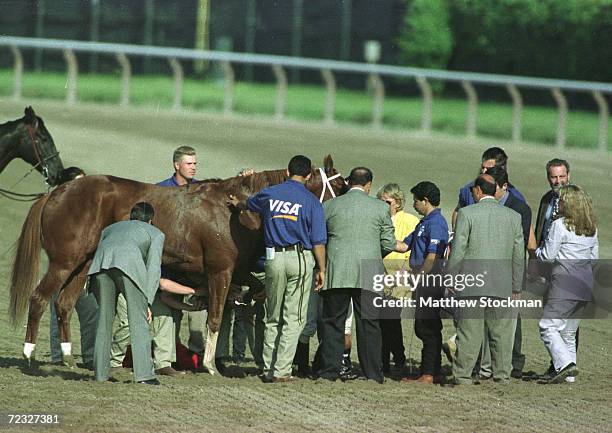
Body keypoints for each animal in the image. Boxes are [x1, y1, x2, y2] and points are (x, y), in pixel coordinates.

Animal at [9, 154, 346, 372]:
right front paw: (210, 365)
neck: (238, 211)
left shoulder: (237, 271)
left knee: (63, 304)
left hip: (82, 264)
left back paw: (67, 358)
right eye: (342, 186)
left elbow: (256, 291)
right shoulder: (220, 271)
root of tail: (57, 192)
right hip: (64, 263)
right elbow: (215, 316)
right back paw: (29, 355)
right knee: (39, 299)